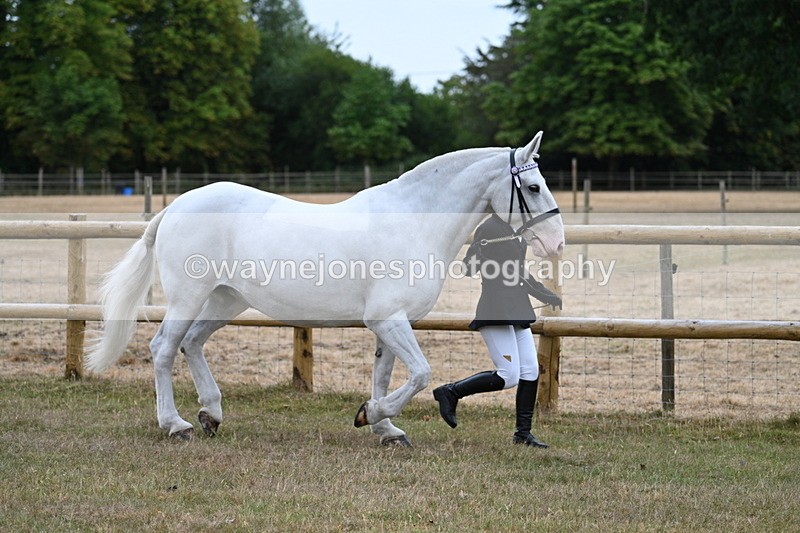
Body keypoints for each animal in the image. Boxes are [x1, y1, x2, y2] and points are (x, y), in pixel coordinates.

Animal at [86, 131, 565, 446]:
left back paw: (211, 414)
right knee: (165, 348)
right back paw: (177, 424)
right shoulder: (388, 319)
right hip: (189, 296)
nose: (556, 243)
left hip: (226, 300)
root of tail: (175, 207)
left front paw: (386, 429)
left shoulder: (391, 324)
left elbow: (385, 374)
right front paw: (372, 415)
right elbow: (421, 373)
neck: (412, 222)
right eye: (534, 186)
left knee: (193, 344)